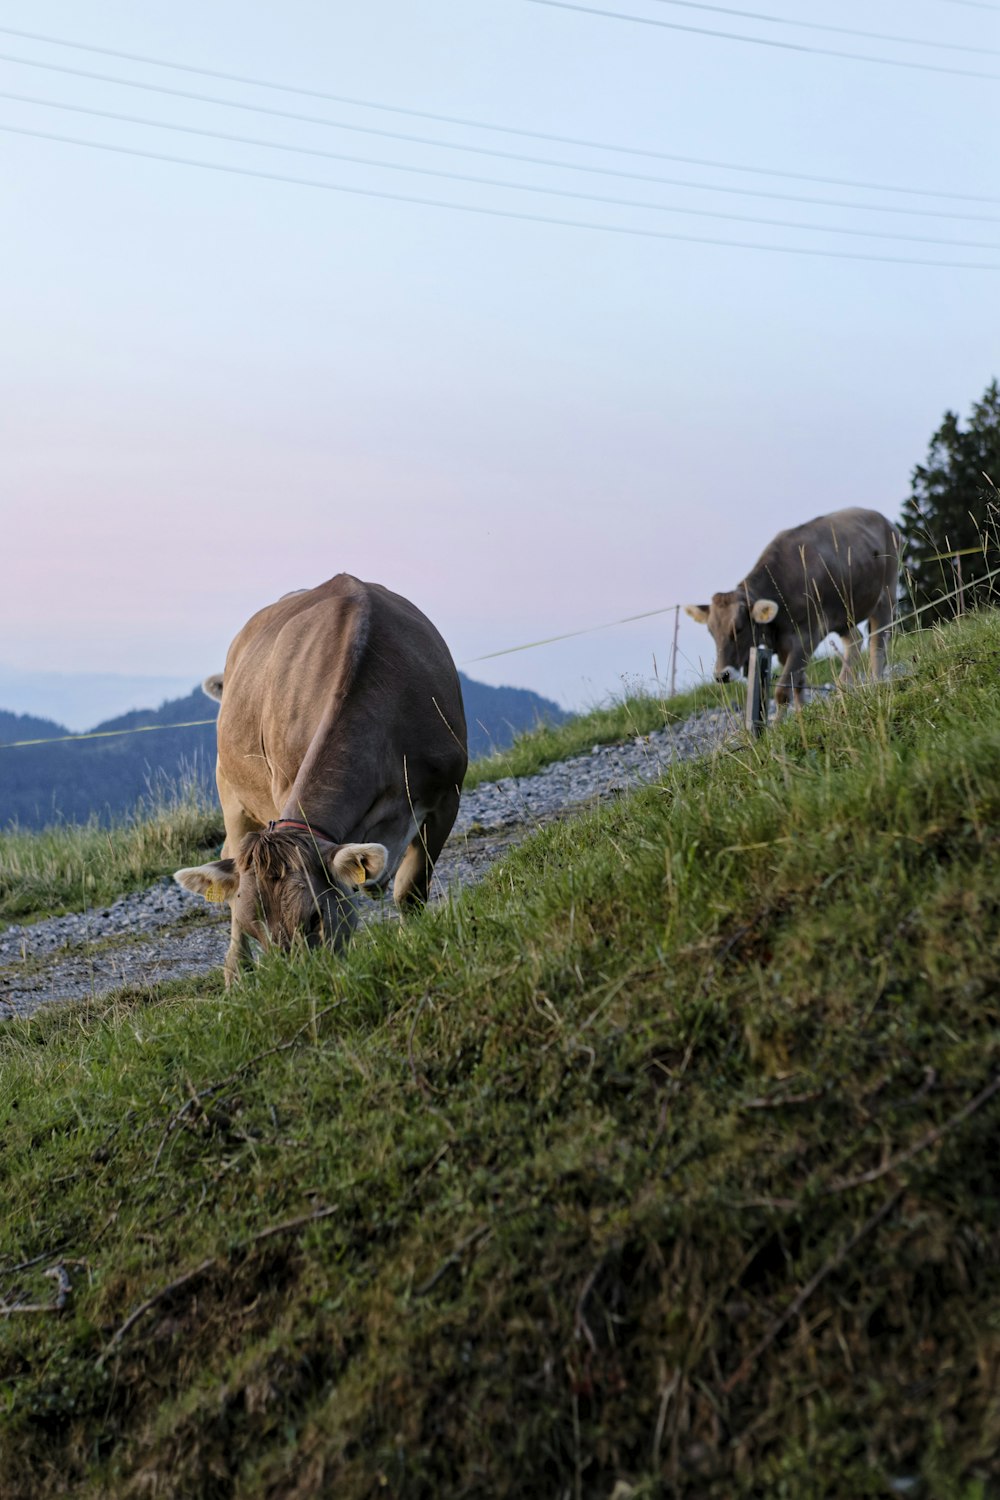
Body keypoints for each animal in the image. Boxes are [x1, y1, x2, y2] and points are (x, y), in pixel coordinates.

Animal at [173, 573, 467, 984]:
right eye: (255, 929)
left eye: (314, 917)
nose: (302, 986)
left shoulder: (447, 793)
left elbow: (410, 890)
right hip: (230, 790)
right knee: (228, 854)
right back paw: (236, 972)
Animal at [683, 510, 905, 708]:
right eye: (711, 631)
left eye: (738, 628)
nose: (722, 675)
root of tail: (883, 519)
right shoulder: (784, 645)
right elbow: (798, 685)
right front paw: (802, 715)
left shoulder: (806, 637)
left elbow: (783, 691)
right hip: (843, 615)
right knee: (855, 641)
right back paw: (843, 689)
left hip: (886, 594)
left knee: (878, 644)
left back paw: (874, 685)